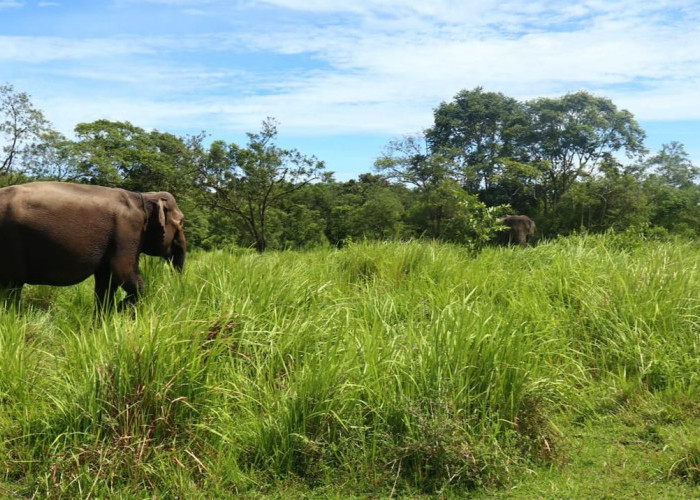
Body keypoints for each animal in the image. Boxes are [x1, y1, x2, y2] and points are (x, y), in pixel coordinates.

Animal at [0, 182, 186, 310]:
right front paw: (121, 308)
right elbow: (124, 273)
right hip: (11, 241)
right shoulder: (127, 232)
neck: (143, 198)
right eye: (181, 222)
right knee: (11, 287)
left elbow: (106, 282)